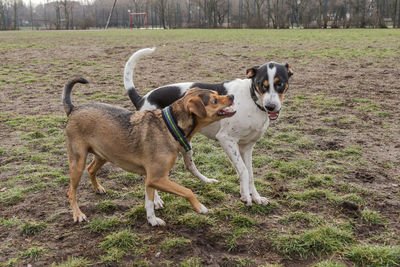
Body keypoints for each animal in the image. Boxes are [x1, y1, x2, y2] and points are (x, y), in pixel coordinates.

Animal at [63, 77, 234, 226]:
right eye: (214, 100)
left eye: (218, 93)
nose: (232, 96)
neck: (171, 127)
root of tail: (74, 108)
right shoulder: (157, 178)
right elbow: (187, 191)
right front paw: (200, 207)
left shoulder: (151, 179)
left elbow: (149, 202)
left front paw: (152, 220)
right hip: (78, 162)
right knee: (71, 191)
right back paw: (77, 214)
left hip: (103, 154)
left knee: (91, 169)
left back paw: (98, 188)